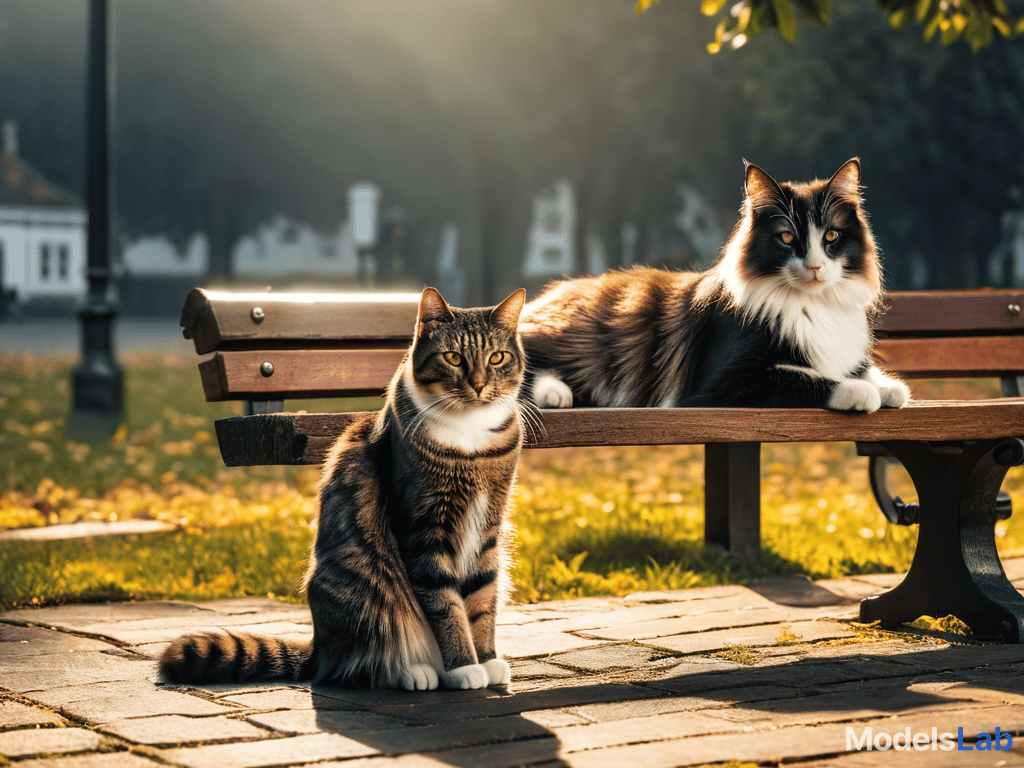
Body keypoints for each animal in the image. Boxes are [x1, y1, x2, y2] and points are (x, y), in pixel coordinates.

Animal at [161, 286, 528, 692]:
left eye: (497, 357)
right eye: (453, 358)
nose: (479, 385)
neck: (471, 436)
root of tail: (318, 646)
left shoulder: (489, 526)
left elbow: (481, 599)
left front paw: (487, 659)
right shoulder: (425, 531)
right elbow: (446, 605)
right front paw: (463, 666)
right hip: (366, 581)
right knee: (359, 660)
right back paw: (413, 671)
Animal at [524, 157, 909, 415]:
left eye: (831, 236)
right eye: (786, 238)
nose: (815, 267)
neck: (811, 304)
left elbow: (867, 372)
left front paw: (891, 388)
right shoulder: (732, 378)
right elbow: (813, 378)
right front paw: (862, 393)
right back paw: (555, 394)